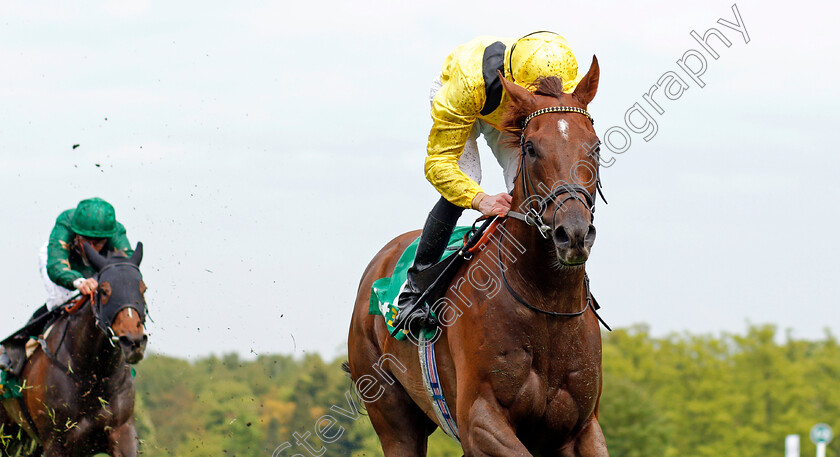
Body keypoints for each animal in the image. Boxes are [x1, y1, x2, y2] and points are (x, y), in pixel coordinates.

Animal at [0, 242, 149, 456]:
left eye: (143, 289)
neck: (93, 376)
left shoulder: (122, 432)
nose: (133, 341)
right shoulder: (56, 442)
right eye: (104, 291)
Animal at [348, 58, 612, 456]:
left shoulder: (582, 428)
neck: (545, 301)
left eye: (594, 147)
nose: (574, 233)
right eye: (531, 147)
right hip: (392, 417)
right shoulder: (480, 420)